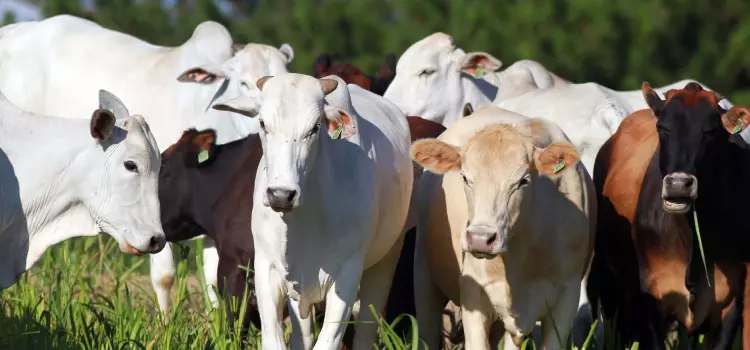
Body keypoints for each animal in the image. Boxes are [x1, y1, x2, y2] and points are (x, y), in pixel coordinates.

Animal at [212, 72, 414, 348]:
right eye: (263, 123)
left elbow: (328, 341)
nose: (281, 194)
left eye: (315, 127)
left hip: (386, 259)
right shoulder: (267, 269)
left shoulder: (347, 275)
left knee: (365, 329)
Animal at [408, 104, 596, 350]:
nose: (480, 238)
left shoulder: (567, 296)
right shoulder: (474, 293)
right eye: (465, 177)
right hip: (424, 275)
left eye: (523, 180)